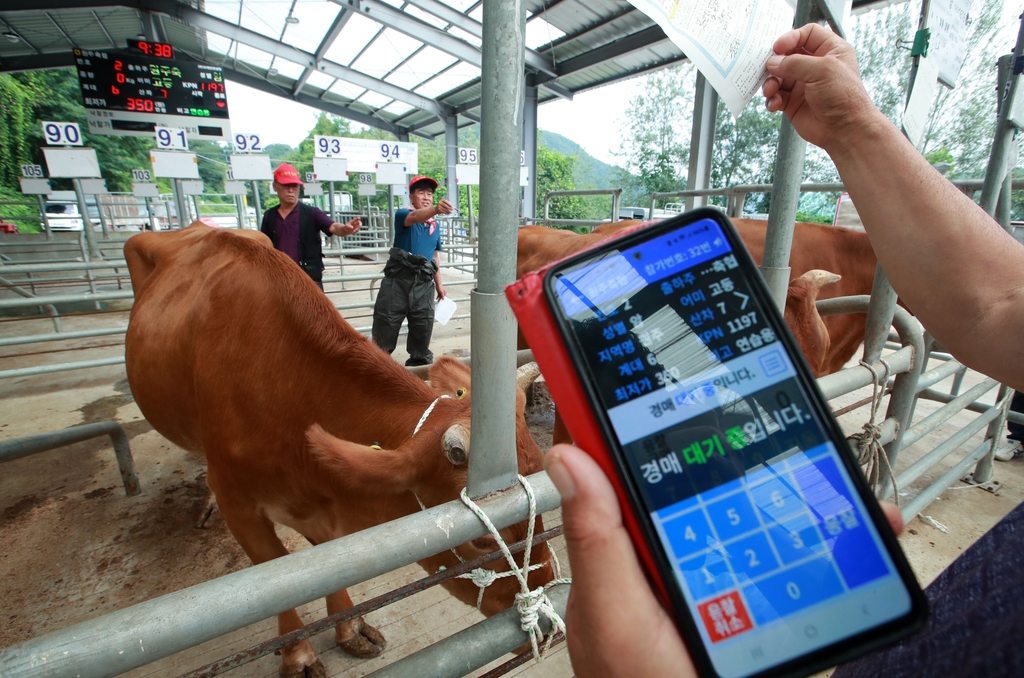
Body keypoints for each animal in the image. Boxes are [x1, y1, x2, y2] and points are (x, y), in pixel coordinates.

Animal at [124, 224, 557, 678]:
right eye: (481, 542)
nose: (548, 617)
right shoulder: (239, 506)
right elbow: (274, 582)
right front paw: (298, 654)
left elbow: (330, 568)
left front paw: (349, 627)